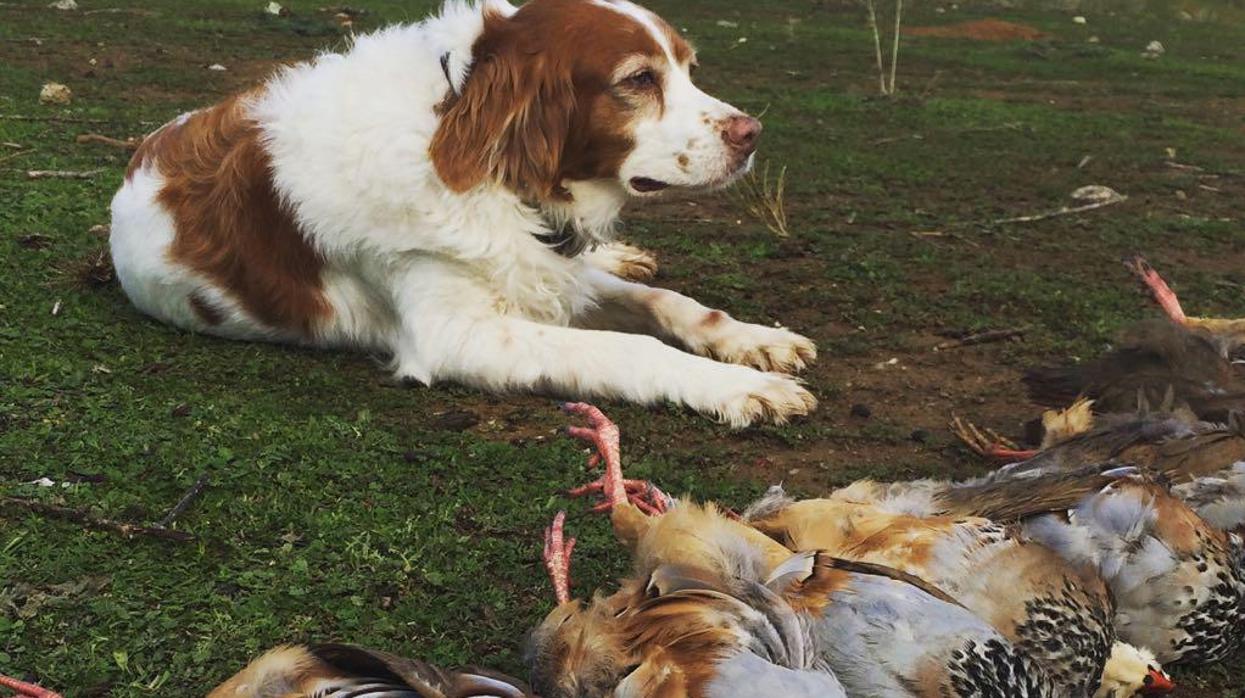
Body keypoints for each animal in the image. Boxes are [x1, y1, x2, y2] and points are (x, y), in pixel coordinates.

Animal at [112, 0, 816, 425]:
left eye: (689, 69)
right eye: (640, 80)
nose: (751, 133)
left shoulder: (541, 268)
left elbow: (671, 302)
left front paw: (758, 340)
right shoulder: (456, 333)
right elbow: (631, 347)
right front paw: (736, 388)